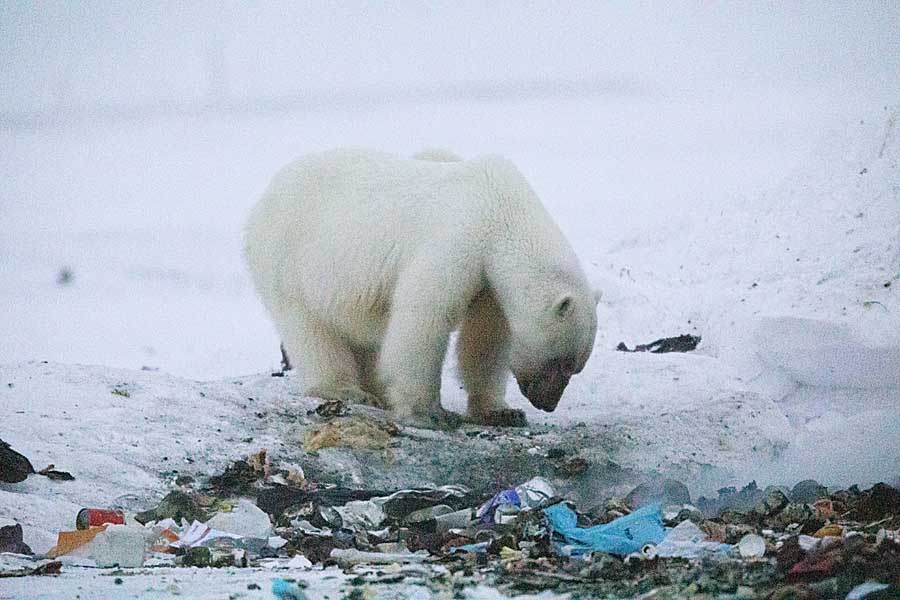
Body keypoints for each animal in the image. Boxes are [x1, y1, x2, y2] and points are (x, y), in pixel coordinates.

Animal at [244, 150, 596, 432]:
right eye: (563, 363)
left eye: (575, 367)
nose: (547, 403)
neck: (501, 210)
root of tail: (264, 198)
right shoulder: (456, 240)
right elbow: (424, 319)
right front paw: (430, 414)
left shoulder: (488, 280)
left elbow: (485, 340)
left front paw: (501, 412)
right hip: (290, 261)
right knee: (312, 330)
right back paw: (347, 389)